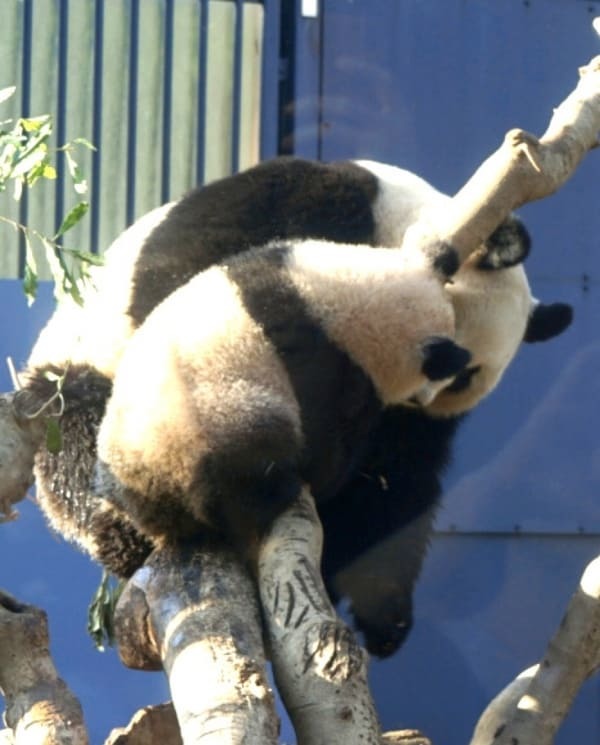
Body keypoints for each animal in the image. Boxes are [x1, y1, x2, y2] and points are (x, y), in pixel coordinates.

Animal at [18, 158, 572, 656]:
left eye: (467, 379)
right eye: (457, 367)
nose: (419, 398)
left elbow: (397, 483)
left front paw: (385, 615)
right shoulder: (310, 203)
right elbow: (187, 267)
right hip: (76, 374)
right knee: (74, 436)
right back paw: (123, 534)